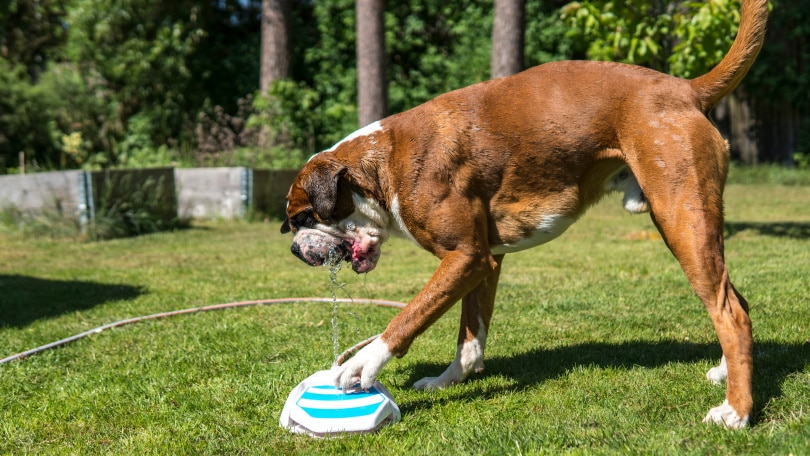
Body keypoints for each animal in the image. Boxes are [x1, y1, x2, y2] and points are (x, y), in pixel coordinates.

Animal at [280, 0, 768, 430]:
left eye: (302, 218)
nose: (294, 250)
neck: (381, 166)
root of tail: (685, 88)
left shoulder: (465, 257)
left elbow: (409, 316)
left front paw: (363, 362)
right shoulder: (485, 262)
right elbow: (469, 337)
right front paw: (447, 380)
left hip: (682, 222)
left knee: (731, 312)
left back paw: (736, 412)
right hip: (689, 228)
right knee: (735, 300)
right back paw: (725, 374)